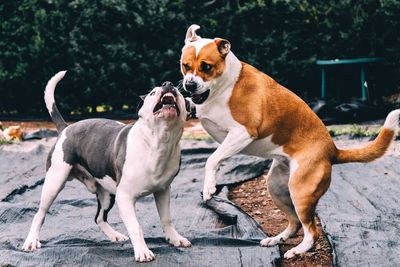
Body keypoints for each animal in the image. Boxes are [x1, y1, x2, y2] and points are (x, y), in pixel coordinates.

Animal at [21, 71, 192, 262]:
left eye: (180, 93)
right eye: (152, 93)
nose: (168, 83)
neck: (158, 143)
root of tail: (66, 128)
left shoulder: (163, 191)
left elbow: (166, 218)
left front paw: (175, 238)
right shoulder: (124, 198)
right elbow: (135, 227)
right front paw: (142, 251)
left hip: (107, 194)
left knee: (99, 218)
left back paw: (114, 235)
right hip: (54, 182)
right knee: (40, 214)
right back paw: (31, 241)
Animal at [180, 25, 398, 260]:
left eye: (206, 67)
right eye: (185, 66)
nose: (189, 85)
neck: (224, 86)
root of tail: (333, 149)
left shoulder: (242, 133)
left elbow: (212, 159)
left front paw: (209, 187)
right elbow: (215, 156)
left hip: (300, 191)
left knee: (311, 230)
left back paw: (298, 249)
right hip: (276, 185)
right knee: (294, 223)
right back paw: (277, 239)